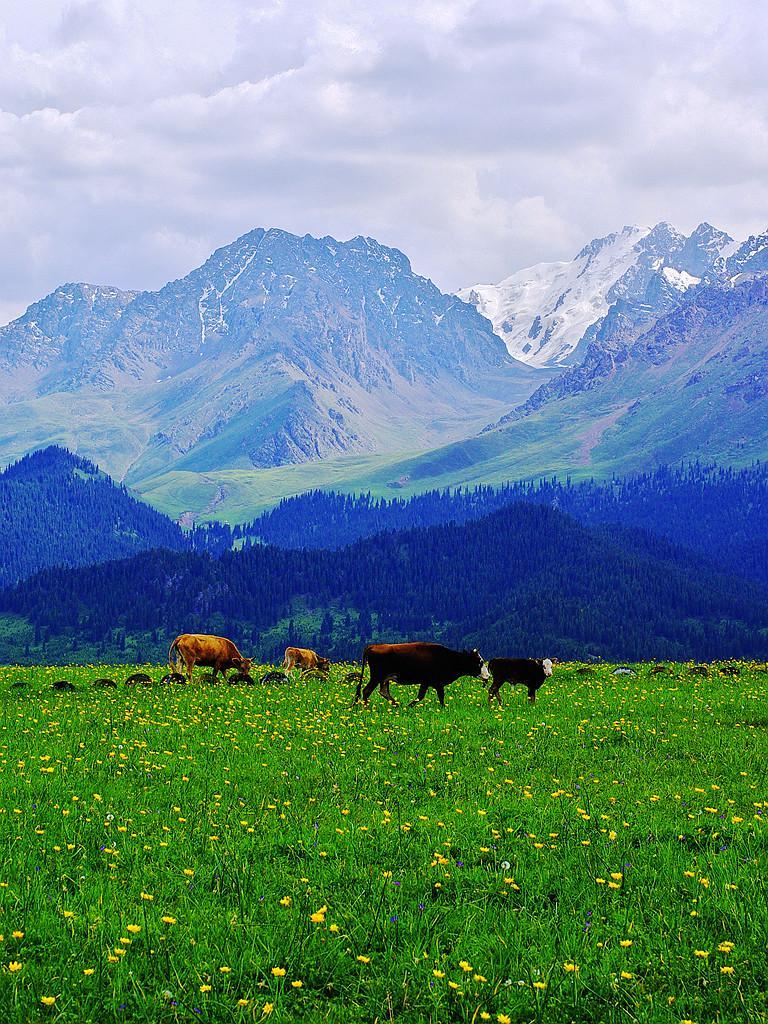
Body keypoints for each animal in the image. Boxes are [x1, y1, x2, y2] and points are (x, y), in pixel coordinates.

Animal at [353, 642, 489, 707]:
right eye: (480, 662)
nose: (488, 676)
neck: (448, 658)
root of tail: (372, 646)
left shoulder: (433, 683)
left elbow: (435, 696)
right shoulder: (431, 682)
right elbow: (425, 696)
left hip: (384, 679)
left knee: (383, 691)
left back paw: (396, 704)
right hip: (377, 677)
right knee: (367, 690)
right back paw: (366, 707)